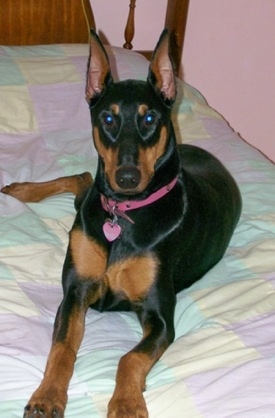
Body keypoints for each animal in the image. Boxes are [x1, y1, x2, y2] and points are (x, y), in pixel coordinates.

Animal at [2, 30, 242, 418]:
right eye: (109, 119)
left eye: (150, 119)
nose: (126, 178)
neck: (123, 214)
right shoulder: (76, 291)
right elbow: (62, 348)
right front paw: (47, 396)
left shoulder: (160, 316)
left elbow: (129, 359)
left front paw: (127, 403)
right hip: (88, 203)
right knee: (83, 178)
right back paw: (21, 189)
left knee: (83, 179)